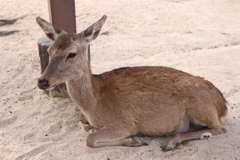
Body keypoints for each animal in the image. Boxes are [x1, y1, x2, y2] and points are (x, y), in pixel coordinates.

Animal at [35, 14, 227, 151]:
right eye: (49, 51)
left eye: (72, 54)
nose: (42, 82)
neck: (93, 103)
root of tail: (222, 104)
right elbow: (85, 128)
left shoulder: (125, 123)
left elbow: (90, 139)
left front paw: (135, 140)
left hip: (201, 106)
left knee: (220, 128)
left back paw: (170, 142)